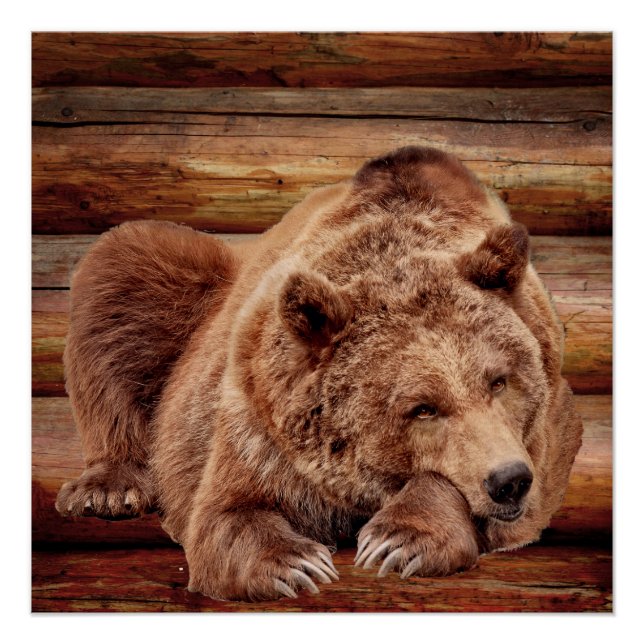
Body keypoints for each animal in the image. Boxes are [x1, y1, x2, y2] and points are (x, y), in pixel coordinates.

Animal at [56, 145, 583, 602]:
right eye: (422, 408)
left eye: (499, 381)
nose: (508, 480)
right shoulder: (261, 419)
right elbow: (225, 511)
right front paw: (295, 563)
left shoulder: (546, 435)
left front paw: (398, 541)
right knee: (124, 265)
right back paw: (109, 490)